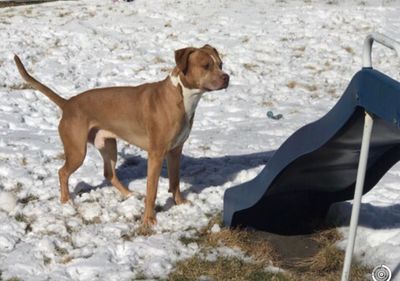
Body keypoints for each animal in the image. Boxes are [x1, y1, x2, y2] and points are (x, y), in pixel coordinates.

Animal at [14, 45, 228, 225]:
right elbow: (152, 189)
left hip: (108, 145)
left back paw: (129, 194)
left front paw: (180, 203)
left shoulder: (175, 150)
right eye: (206, 65)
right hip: (77, 151)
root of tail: (67, 104)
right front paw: (149, 219)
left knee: (109, 174)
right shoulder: (156, 154)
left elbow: (175, 182)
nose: (226, 77)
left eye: (220, 64)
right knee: (62, 172)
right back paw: (67, 202)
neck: (182, 96)